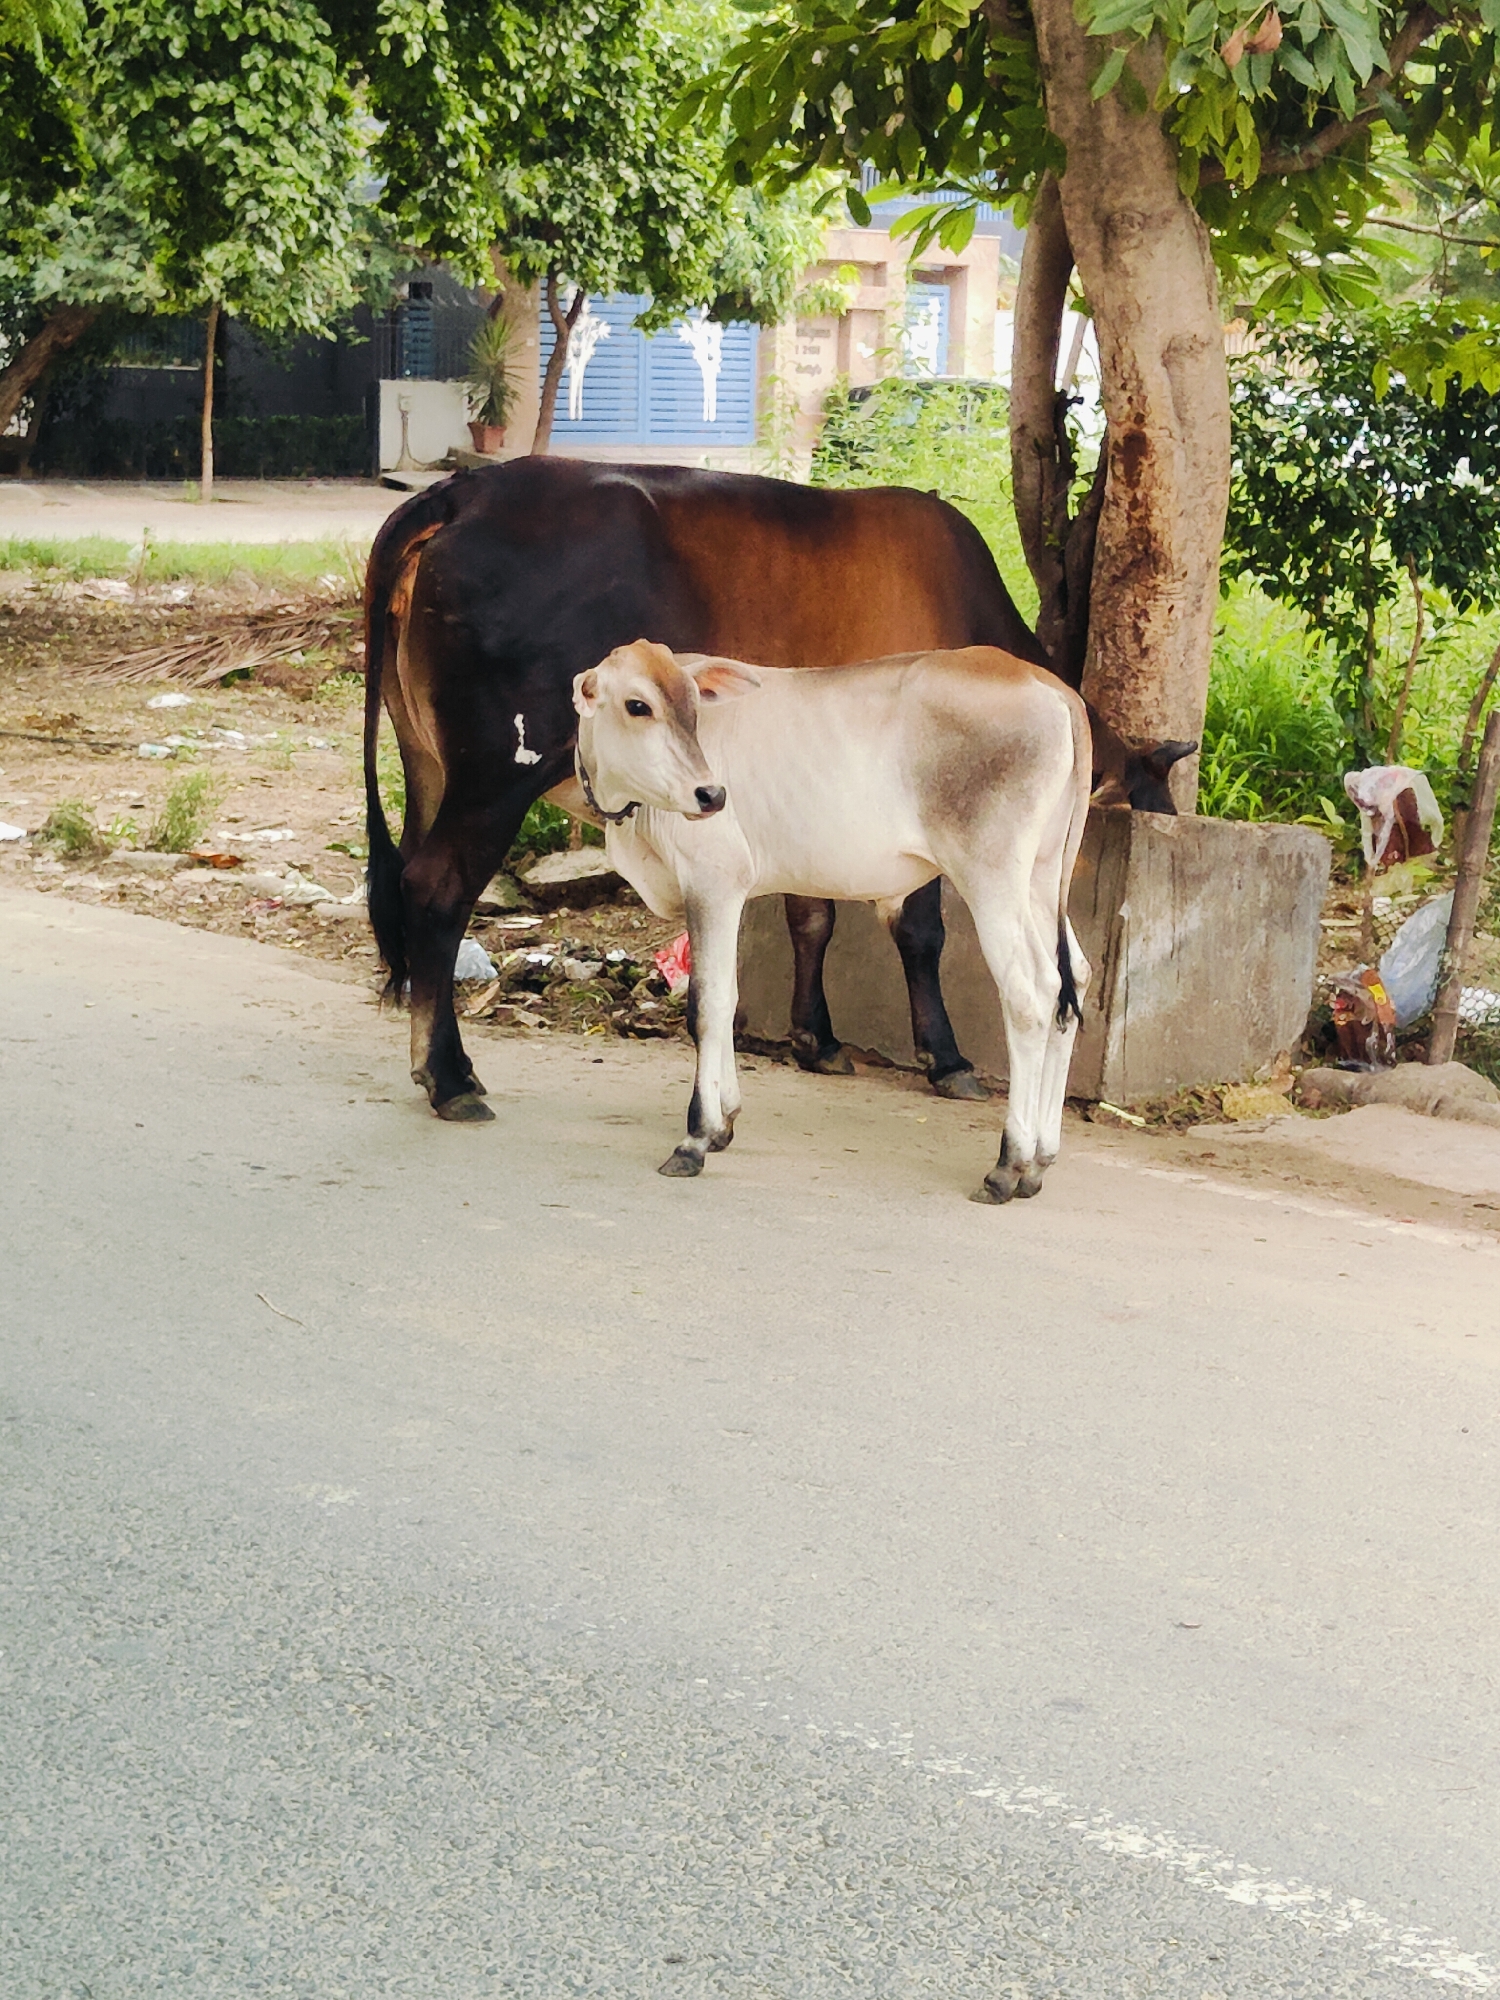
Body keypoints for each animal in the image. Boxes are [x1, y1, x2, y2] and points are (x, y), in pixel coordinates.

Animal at [363, 457, 1190, 1121]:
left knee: (407, 878)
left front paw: (814, 1037)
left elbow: (812, 917)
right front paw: (946, 1058)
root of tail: (464, 492)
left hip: (429, 764)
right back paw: (450, 1079)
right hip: (497, 774)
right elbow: (920, 930)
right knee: (436, 890)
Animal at [573, 640, 1092, 1200]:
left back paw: (1008, 1164)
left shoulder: (712, 882)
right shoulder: (733, 892)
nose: (711, 794)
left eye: (693, 706)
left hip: (992, 877)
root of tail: (1047, 683)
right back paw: (1039, 1161)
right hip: (1042, 878)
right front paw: (724, 1123)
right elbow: (729, 999)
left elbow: (707, 1007)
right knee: (1072, 982)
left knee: (1031, 993)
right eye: (639, 705)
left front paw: (696, 1137)